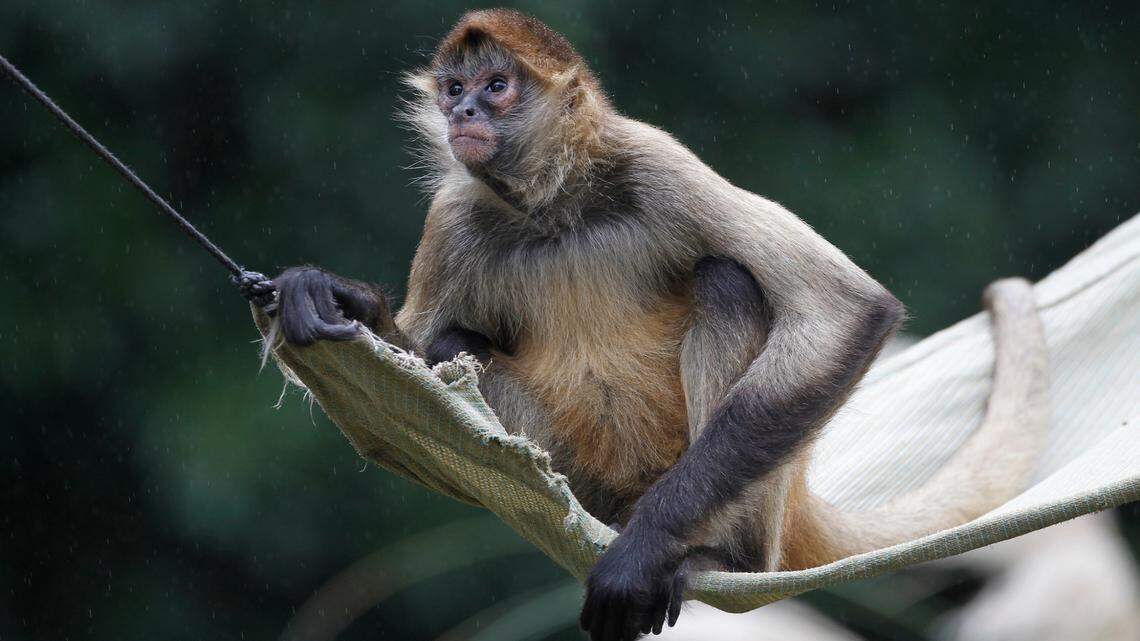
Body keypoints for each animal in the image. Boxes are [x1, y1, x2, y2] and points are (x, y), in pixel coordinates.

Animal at [261, 10, 1048, 641]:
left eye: (496, 85)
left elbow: (849, 307)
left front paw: (642, 557)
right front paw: (346, 299)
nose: (464, 117)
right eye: (454, 90)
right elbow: (422, 350)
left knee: (729, 281)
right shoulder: (453, 215)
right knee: (460, 347)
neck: (555, 211)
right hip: (591, 478)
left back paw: (705, 556)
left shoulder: (653, 160)